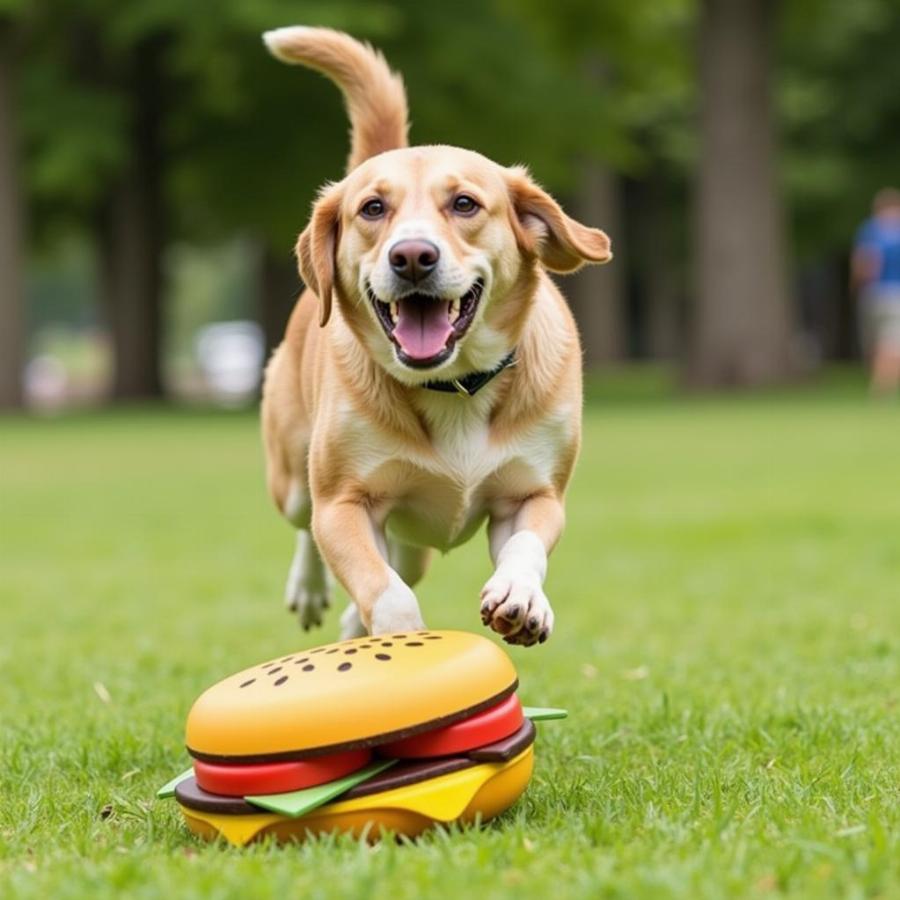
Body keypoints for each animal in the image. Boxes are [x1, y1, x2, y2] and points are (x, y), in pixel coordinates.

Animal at [260, 26, 612, 648]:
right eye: (373, 208)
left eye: (465, 203)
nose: (412, 256)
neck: (455, 387)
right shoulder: (344, 503)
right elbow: (384, 589)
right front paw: (400, 640)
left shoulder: (535, 493)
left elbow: (525, 543)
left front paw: (521, 597)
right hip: (295, 475)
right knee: (308, 526)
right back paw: (310, 589)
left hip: (413, 539)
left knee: (392, 568)